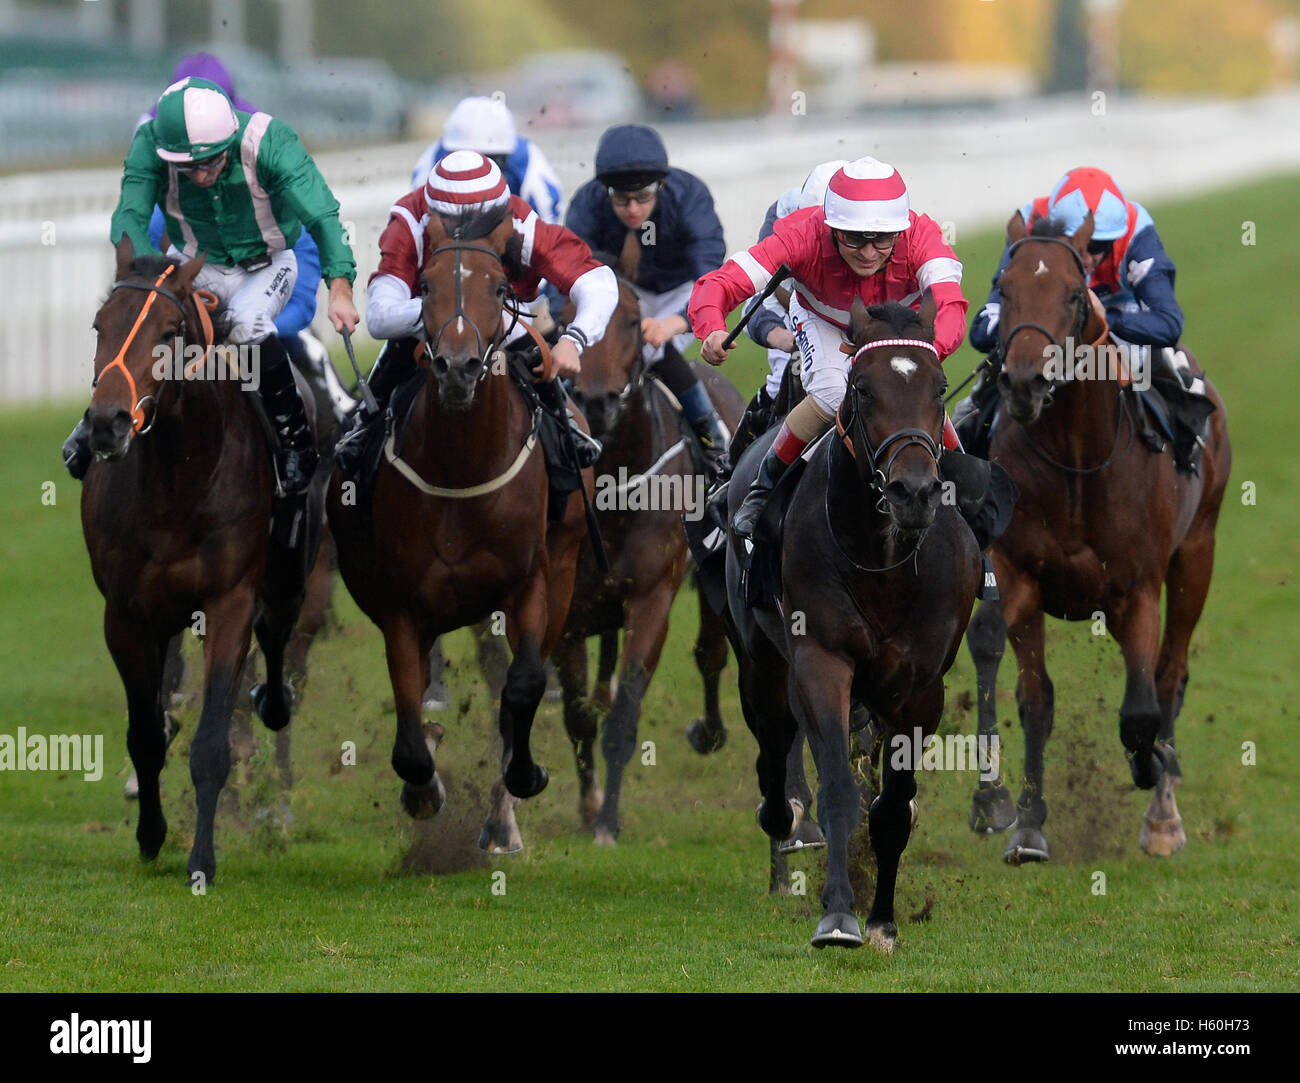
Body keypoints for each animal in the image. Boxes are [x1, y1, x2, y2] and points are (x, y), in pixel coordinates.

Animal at [81, 234, 325, 878]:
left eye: (169, 331)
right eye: (99, 325)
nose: (107, 423)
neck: (179, 480)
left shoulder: (229, 601)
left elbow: (213, 740)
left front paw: (202, 860)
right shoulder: (125, 613)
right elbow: (145, 734)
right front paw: (151, 834)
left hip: (294, 573)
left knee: (278, 638)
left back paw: (273, 703)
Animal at [325, 210, 590, 847]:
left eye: (499, 289)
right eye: (425, 287)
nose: (458, 367)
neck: (462, 469)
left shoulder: (531, 582)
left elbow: (523, 684)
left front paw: (525, 775)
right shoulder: (401, 605)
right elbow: (408, 710)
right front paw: (423, 786)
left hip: (564, 569)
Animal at [553, 273, 748, 842]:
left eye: (635, 322)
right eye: (564, 315)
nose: (596, 401)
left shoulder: (652, 599)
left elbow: (623, 717)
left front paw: (608, 824)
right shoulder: (565, 612)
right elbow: (578, 716)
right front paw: (590, 805)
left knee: (711, 653)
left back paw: (709, 731)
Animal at [722, 296, 977, 946]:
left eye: (940, 387)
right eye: (863, 389)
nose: (913, 491)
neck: (883, 562)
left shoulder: (920, 687)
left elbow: (892, 805)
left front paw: (883, 919)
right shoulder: (821, 662)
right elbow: (837, 783)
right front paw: (839, 913)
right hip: (761, 661)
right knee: (773, 743)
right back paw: (781, 819)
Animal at [967, 210, 1227, 863]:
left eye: (1071, 294)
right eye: (1003, 288)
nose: (1024, 383)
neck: (1077, 461)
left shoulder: (1137, 589)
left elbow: (1140, 708)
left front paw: (1149, 766)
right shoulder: (1019, 573)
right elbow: (1027, 690)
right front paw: (1015, 813)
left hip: (1198, 554)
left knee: (1170, 676)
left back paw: (1162, 811)